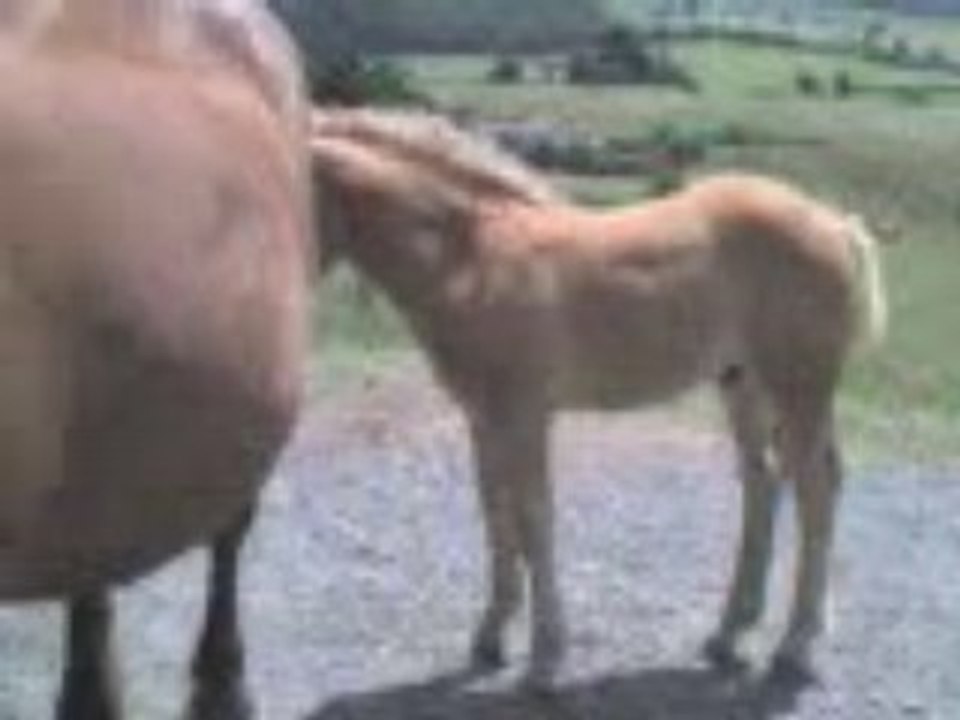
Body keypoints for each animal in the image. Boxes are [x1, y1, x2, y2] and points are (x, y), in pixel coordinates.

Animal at [309, 108, 887, 691]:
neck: (472, 258)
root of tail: (834, 222)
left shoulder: (524, 414)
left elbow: (534, 518)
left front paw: (545, 658)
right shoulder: (482, 417)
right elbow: (495, 514)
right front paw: (491, 638)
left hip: (800, 386)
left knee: (816, 489)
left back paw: (796, 645)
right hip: (743, 383)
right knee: (764, 484)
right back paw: (728, 635)